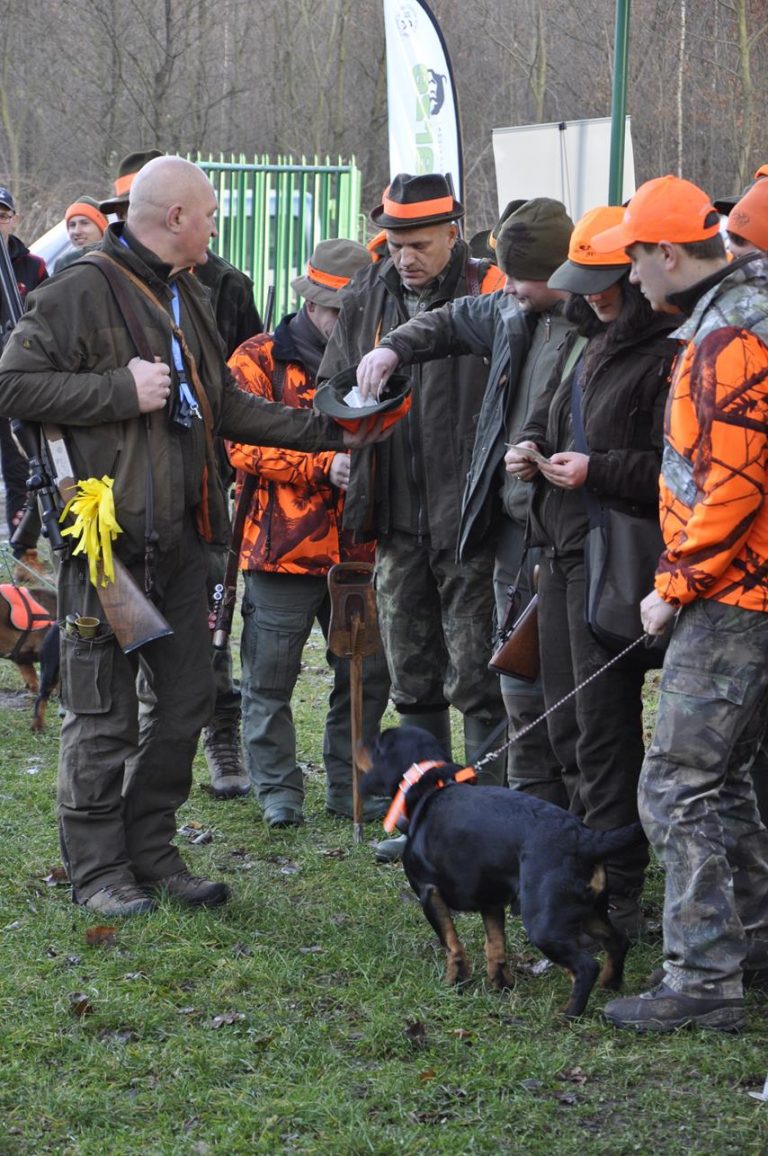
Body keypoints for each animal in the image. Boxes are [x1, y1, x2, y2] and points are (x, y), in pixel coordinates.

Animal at [360, 725, 647, 1017]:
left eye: (378, 743)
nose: (361, 740)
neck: (431, 786)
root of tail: (584, 837)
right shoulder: (490, 901)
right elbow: (495, 945)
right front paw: (501, 984)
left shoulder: (428, 893)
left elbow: (452, 943)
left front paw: (455, 980)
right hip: (591, 911)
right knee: (618, 941)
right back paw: (610, 985)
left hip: (544, 923)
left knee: (586, 966)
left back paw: (569, 1013)